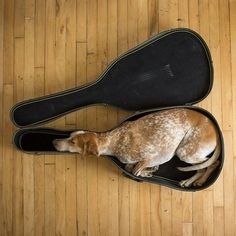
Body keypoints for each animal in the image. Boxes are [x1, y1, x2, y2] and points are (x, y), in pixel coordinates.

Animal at [52, 108, 220, 187]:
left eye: (73, 142)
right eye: (69, 136)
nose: (53, 142)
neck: (113, 140)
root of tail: (215, 129)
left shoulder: (150, 155)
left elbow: (134, 171)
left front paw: (145, 172)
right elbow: (130, 167)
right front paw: (149, 171)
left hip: (184, 152)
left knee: (211, 164)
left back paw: (195, 181)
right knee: (204, 166)